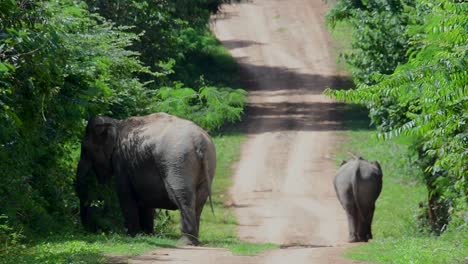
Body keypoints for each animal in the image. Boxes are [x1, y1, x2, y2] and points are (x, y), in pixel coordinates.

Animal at [76, 113, 217, 245]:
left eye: (85, 150)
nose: (89, 230)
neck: (116, 123)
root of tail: (199, 141)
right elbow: (147, 198)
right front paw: (147, 235)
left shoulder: (121, 161)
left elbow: (125, 195)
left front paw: (132, 236)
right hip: (207, 163)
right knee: (199, 200)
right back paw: (194, 242)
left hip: (178, 161)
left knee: (182, 197)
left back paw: (185, 242)